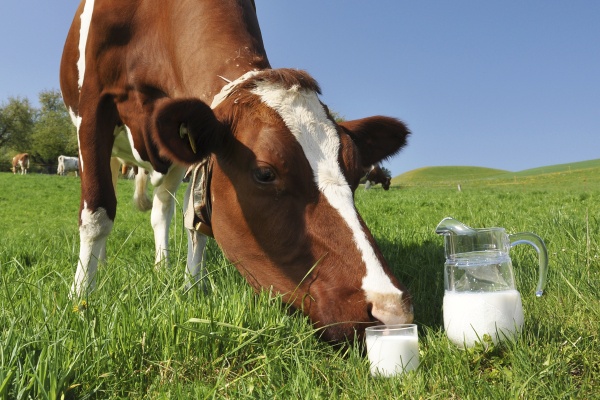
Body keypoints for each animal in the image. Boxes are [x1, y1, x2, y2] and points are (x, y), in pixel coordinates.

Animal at [61, 0, 414, 344]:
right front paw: (81, 300)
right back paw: (101, 266)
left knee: (163, 208)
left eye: (355, 172)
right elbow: (97, 212)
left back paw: (162, 267)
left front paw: (192, 288)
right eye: (265, 173)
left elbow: (196, 221)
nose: (390, 309)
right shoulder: (93, 106)